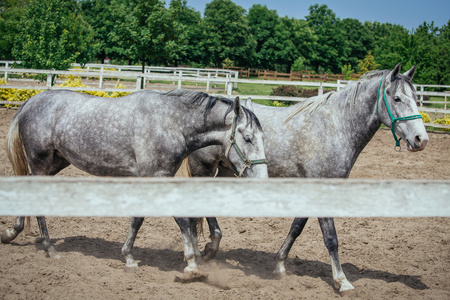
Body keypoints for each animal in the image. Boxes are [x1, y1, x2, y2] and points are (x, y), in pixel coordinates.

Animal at [0, 88, 268, 274]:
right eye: (247, 137)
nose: (263, 179)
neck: (171, 124)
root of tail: (32, 101)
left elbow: (138, 218)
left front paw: (128, 256)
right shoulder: (157, 178)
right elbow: (180, 218)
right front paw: (191, 262)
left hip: (56, 162)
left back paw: (12, 232)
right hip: (41, 160)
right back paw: (49, 248)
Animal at [180, 63, 428, 292]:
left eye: (416, 98)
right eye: (397, 98)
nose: (421, 139)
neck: (335, 127)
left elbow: (297, 227)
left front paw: (279, 264)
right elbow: (331, 238)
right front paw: (341, 281)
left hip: (225, 170)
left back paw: (211, 246)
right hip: (203, 168)